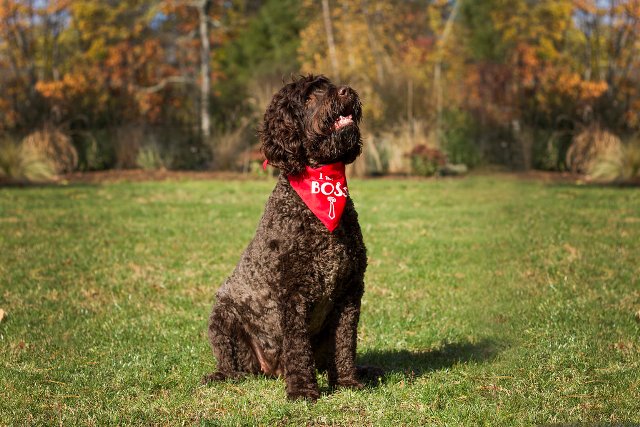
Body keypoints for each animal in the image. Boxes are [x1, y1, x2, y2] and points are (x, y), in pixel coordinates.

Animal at [202, 74, 372, 402]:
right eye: (309, 97)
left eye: (330, 85)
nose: (346, 91)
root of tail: (273, 368)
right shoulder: (292, 293)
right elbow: (297, 346)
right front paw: (303, 390)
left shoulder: (349, 291)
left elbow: (346, 342)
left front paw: (348, 381)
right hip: (223, 314)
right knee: (231, 362)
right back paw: (225, 375)